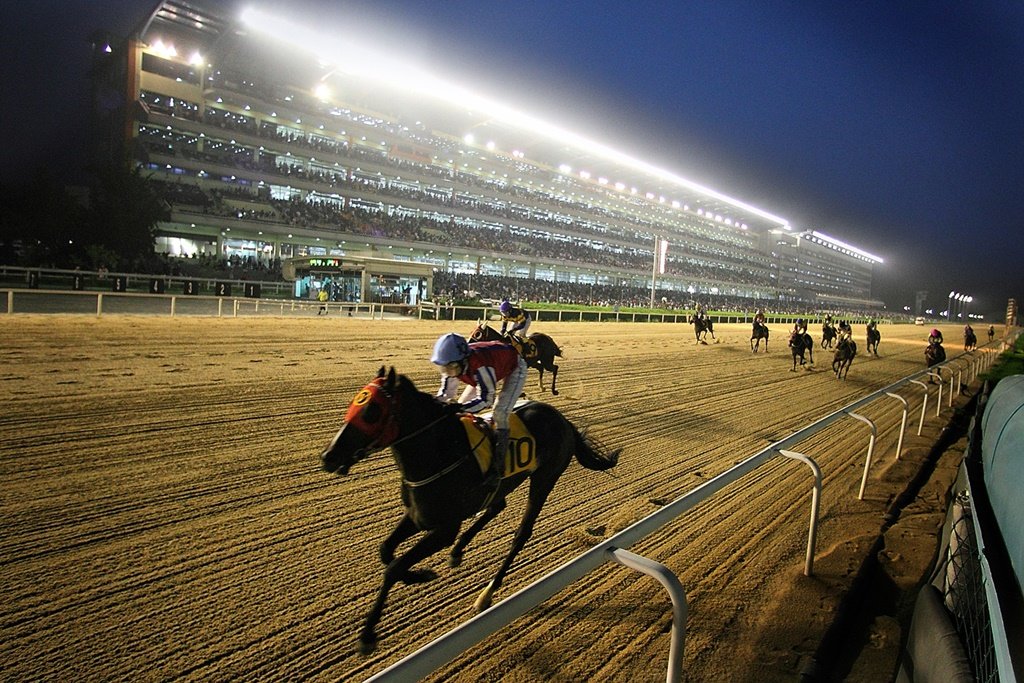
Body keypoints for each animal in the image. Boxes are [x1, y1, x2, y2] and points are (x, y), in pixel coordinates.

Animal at [321, 366, 622, 655]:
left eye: (372, 411)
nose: (328, 456)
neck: (440, 453)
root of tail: (563, 420)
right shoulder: (417, 516)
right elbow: (386, 551)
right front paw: (419, 575)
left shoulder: (444, 529)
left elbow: (393, 568)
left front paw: (368, 635)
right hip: (506, 483)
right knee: (497, 505)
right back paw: (459, 551)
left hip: (545, 478)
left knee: (522, 533)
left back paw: (487, 593)